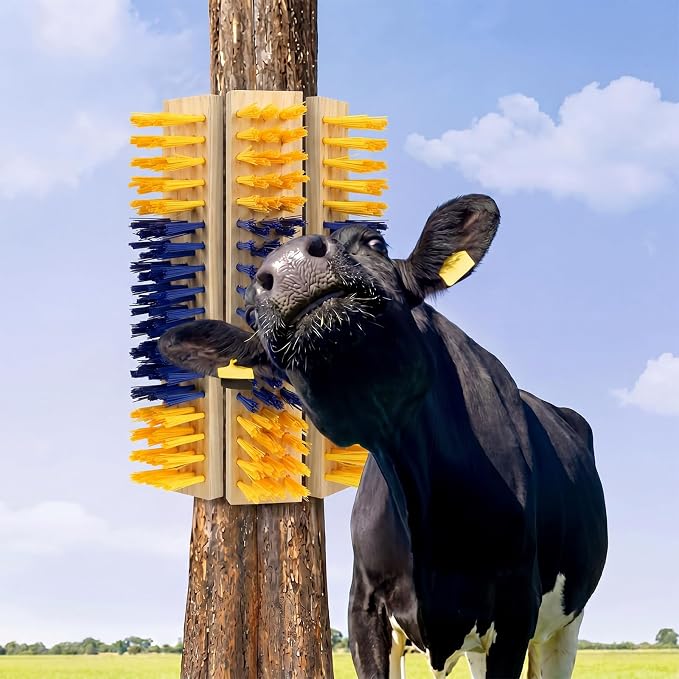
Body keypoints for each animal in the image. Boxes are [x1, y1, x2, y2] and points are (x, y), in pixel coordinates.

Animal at [159, 194, 608, 679]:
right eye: (249, 312)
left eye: (374, 242)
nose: (289, 262)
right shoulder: (365, 608)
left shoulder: (514, 611)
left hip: (564, 625)